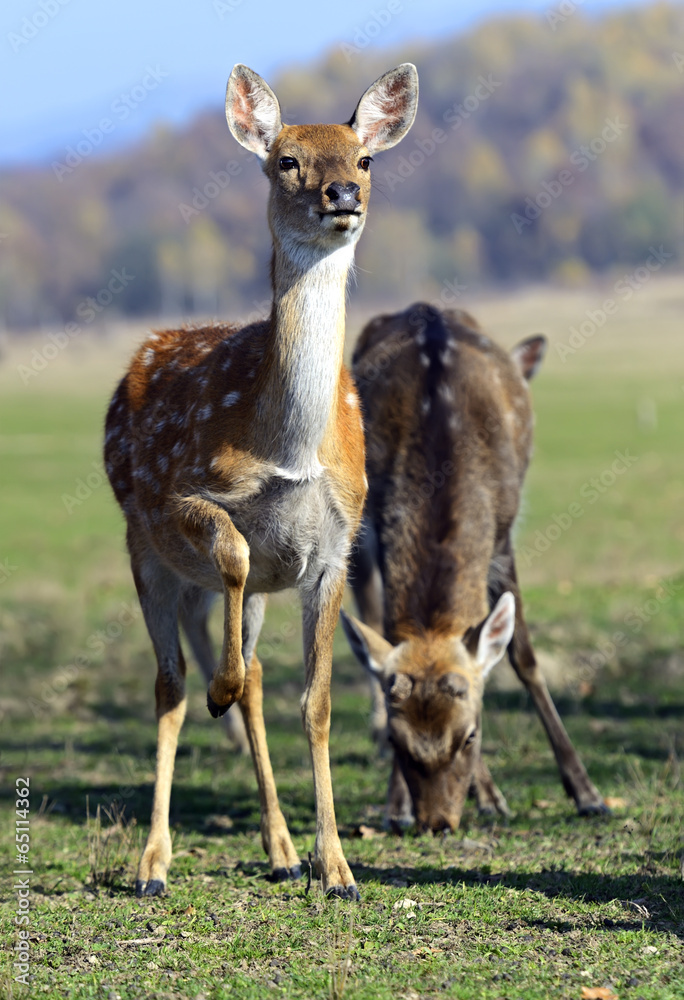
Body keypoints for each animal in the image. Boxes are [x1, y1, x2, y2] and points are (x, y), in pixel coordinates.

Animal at [103, 62, 418, 900]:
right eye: (287, 161)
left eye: (365, 160)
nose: (340, 195)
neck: (291, 451)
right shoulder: (186, 494)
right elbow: (234, 550)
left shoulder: (336, 547)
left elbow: (314, 705)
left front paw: (337, 868)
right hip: (142, 549)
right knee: (169, 684)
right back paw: (153, 864)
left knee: (252, 680)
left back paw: (279, 850)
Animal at [341, 303, 607, 834]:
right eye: (401, 742)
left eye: (471, 734)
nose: (436, 821)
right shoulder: (378, 522)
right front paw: (396, 804)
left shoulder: (503, 536)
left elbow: (523, 657)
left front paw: (586, 793)